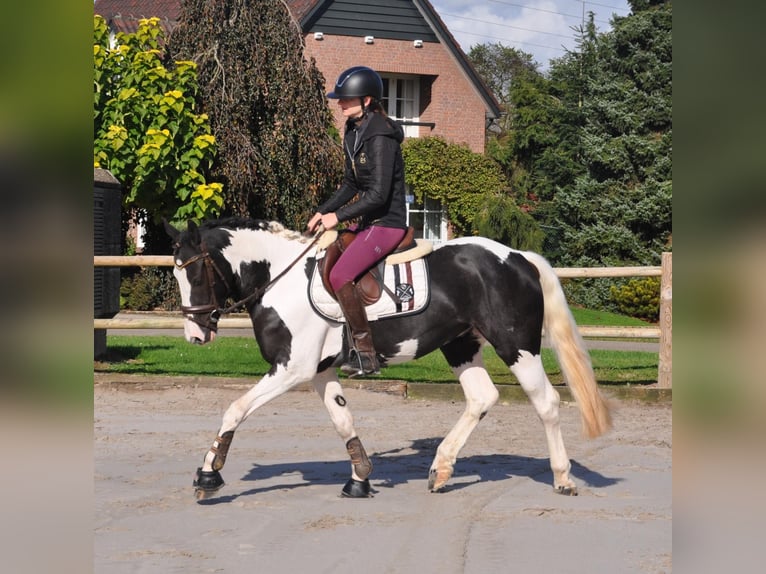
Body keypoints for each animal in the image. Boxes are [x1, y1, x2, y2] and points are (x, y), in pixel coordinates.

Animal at [165, 218, 616, 502]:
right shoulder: (319, 371)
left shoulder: (292, 368)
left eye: (196, 273)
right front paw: (360, 479)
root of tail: (518, 256)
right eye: (175, 273)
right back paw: (441, 469)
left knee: (547, 403)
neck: (281, 277)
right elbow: (343, 420)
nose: (195, 334)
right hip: (460, 344)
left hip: (515, 345)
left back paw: (562, 477)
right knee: (482, 398)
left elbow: (235, 408)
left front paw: (209, 474)